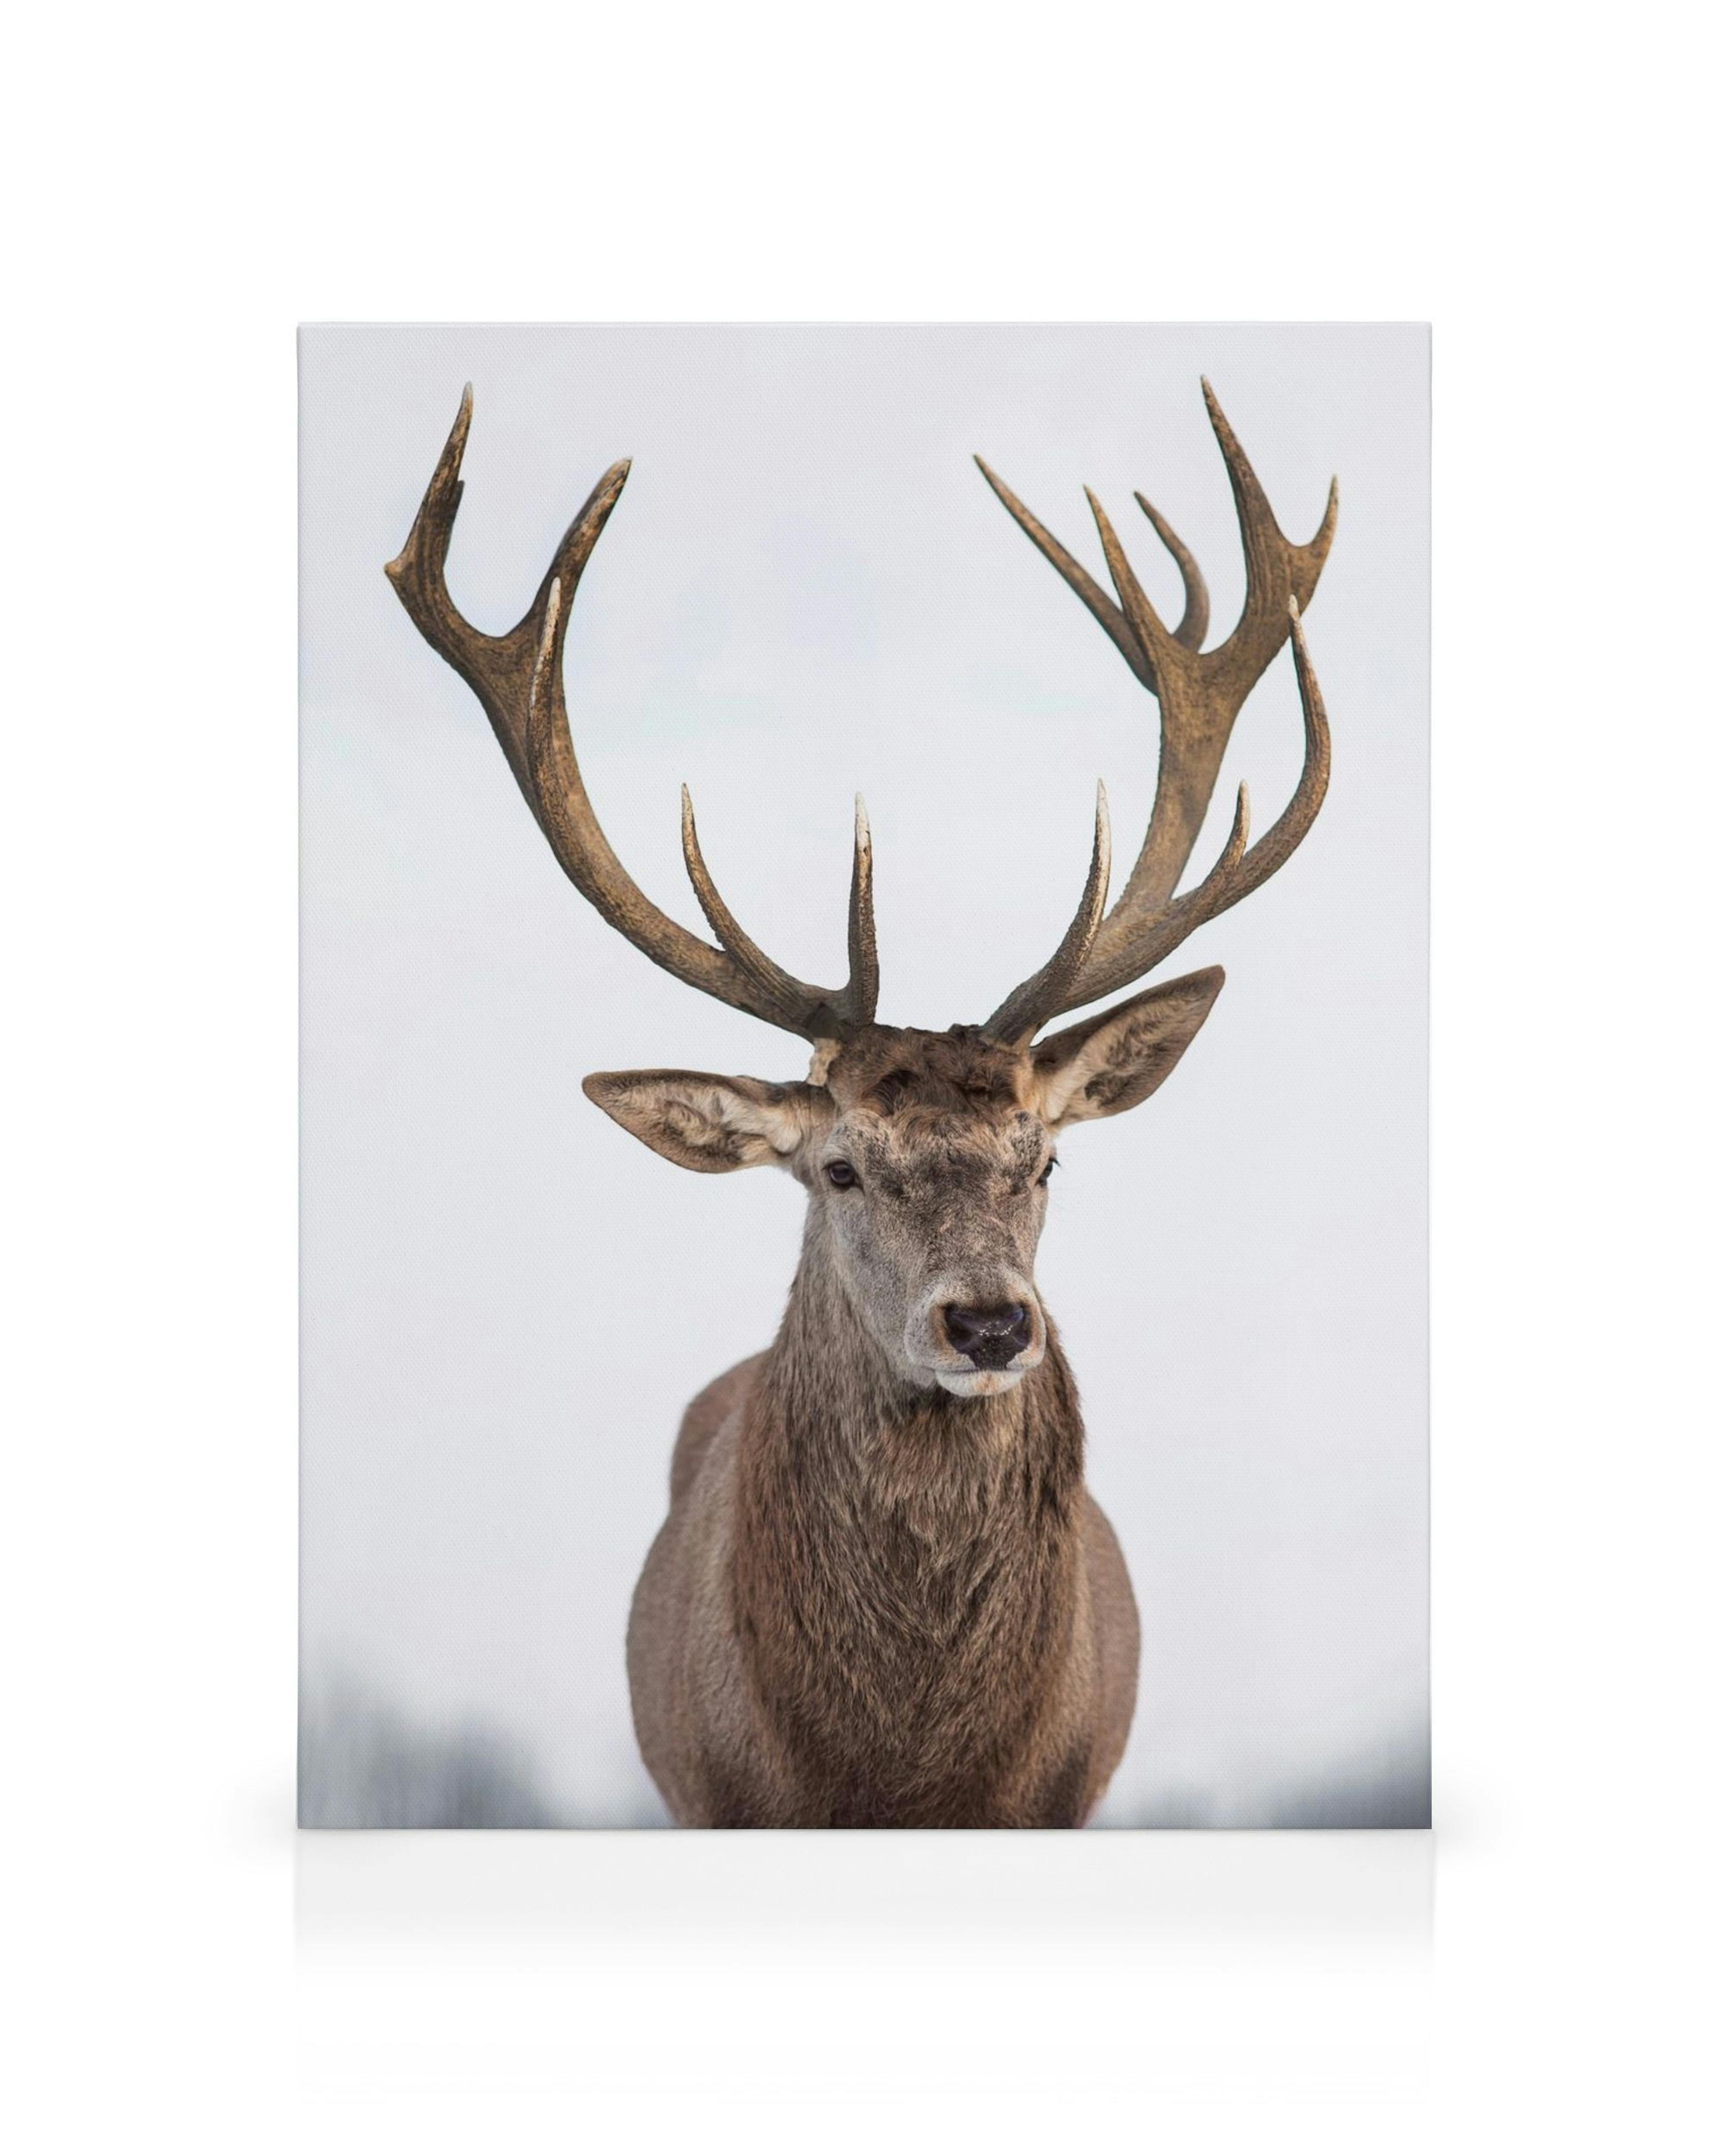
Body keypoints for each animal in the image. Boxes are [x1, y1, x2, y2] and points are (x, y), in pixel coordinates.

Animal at [386, 379, 1337, 1827]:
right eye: (838, 1166)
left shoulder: (1061, 1796)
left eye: (1043, 1160)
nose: (989, 1322)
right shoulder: (717, 1794)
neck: (900, 1772)